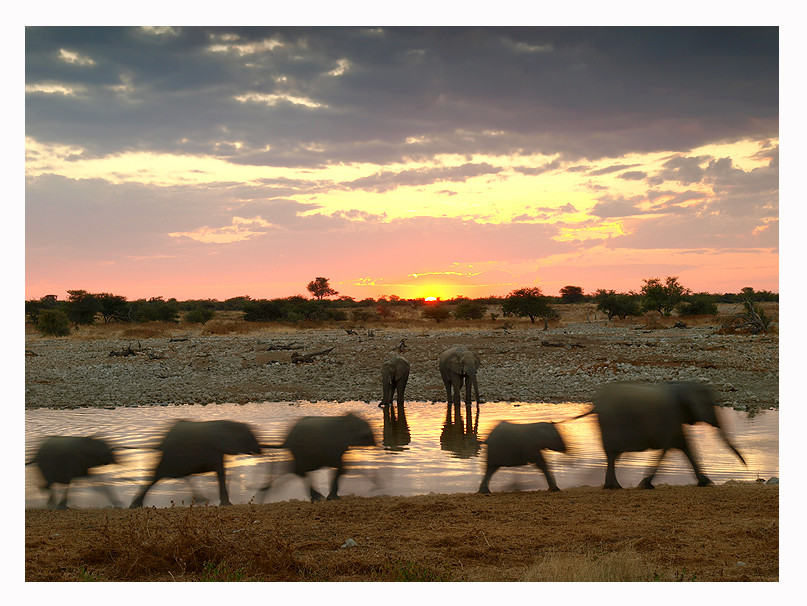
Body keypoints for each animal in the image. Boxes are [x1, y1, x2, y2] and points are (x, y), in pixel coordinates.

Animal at [576, 382, 748, 492]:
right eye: (709, 405)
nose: (745, 465)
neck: (683, 386)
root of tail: (598, 406)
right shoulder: (671, 416)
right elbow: (668, 448)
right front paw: (645, 485)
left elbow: (685, 446)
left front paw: (706, 482)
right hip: (613, 424)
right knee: (612, 454)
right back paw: (615, 487)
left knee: (611, 455)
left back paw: (611, 486)